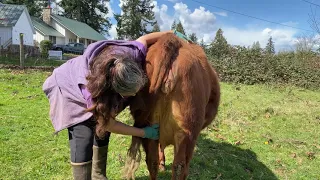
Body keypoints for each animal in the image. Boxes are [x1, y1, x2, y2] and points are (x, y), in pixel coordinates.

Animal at [122, 33, 220, 179]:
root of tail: (171, 39)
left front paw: (163, 163)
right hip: (187, 132)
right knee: (180, 167)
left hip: (148, 127)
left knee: (152, 162)